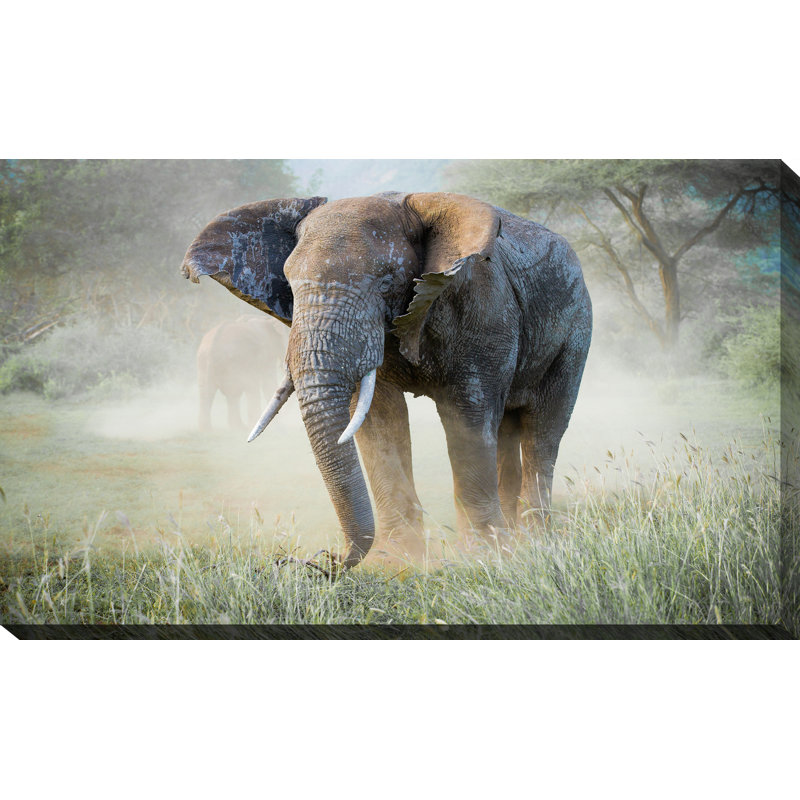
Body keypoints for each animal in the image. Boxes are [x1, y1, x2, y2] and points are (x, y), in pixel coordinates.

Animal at [181, 192, 592, 568]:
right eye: (291, 287)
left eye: (384, 283)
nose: (325, 561)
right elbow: (380, 419)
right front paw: (398, 560)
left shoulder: (482, 304)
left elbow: (468, 416)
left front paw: (483, 558)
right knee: (508, 428)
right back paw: (517, 537)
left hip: (576, 332)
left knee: (544, 428)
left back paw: (533, 539)